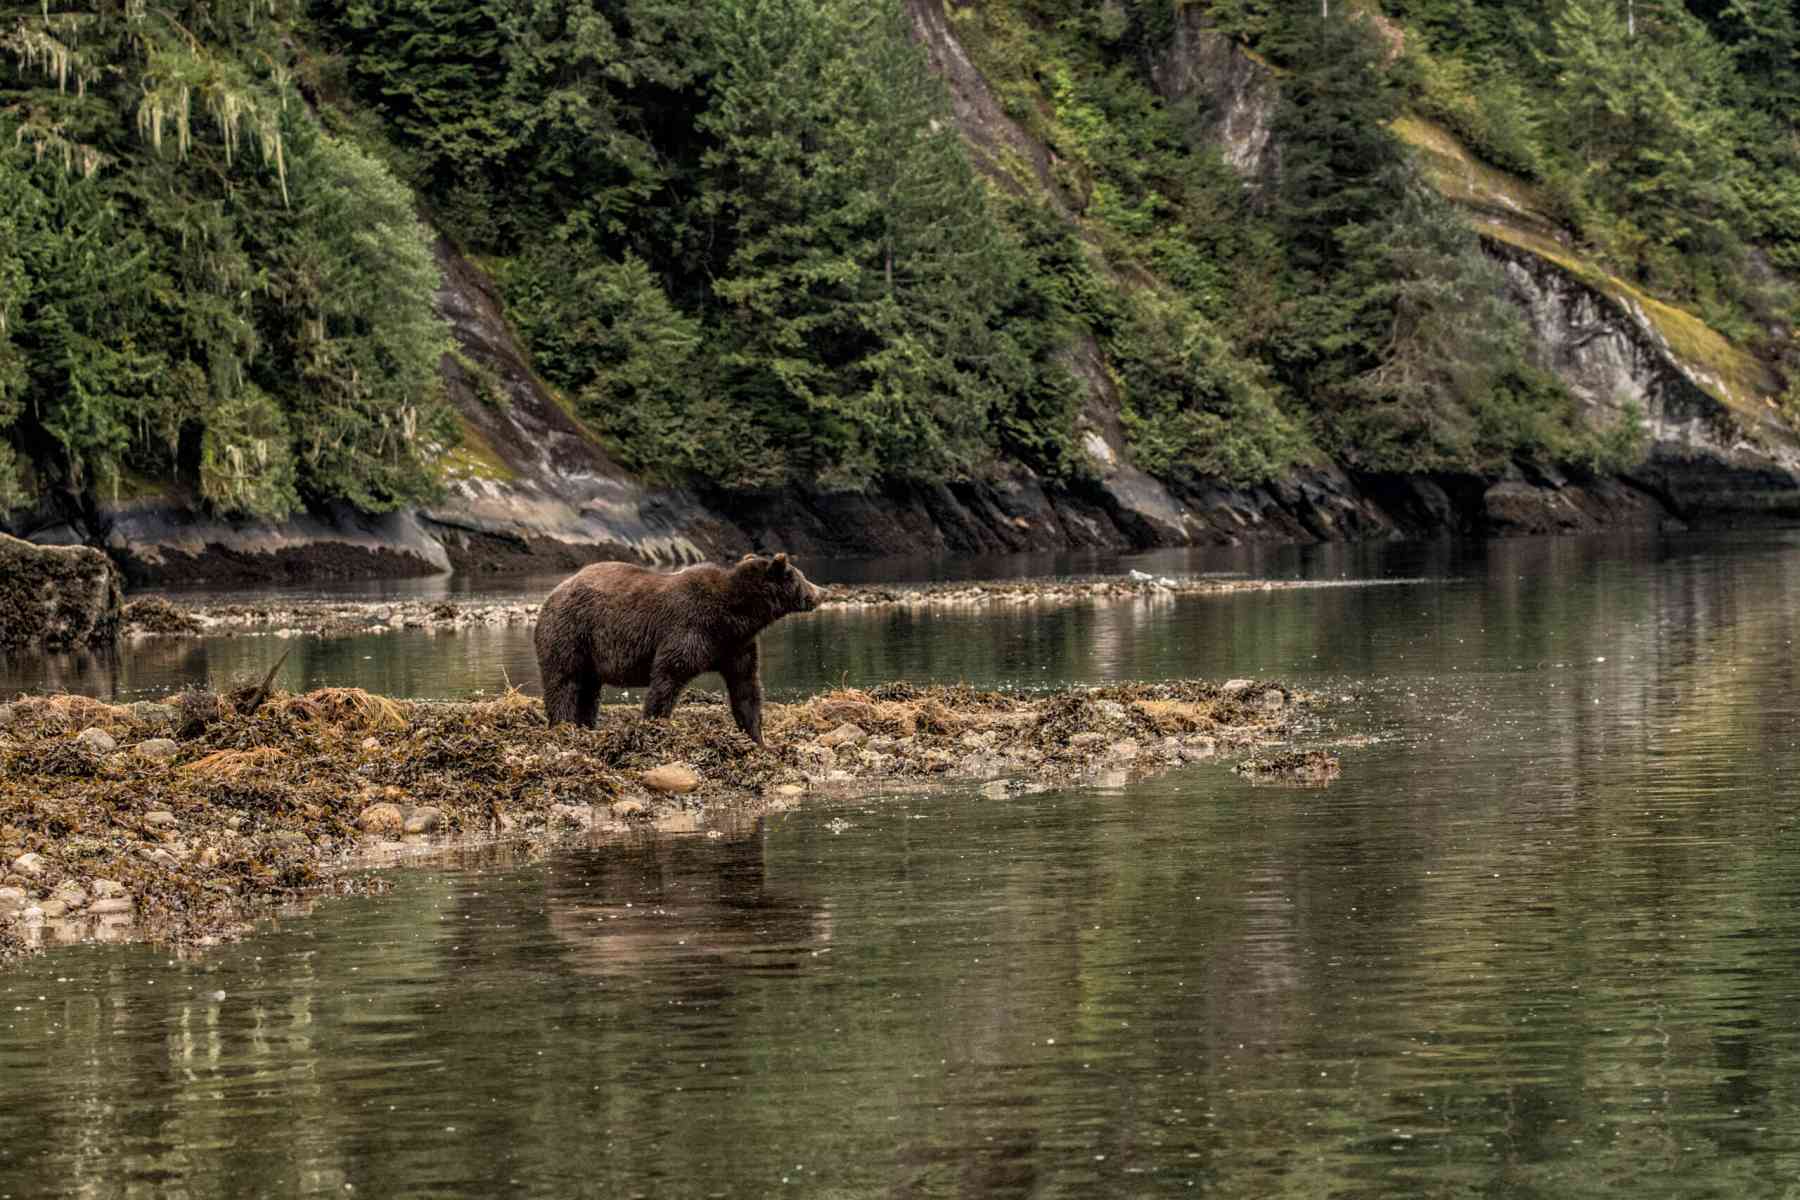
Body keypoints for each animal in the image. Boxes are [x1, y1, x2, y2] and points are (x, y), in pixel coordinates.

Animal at [525, 557, 824, 744]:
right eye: (801, 577)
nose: (822, 592)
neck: (735, 616)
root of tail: (552, 595)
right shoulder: (690, 628)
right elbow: (667, 677)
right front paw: (654, 725)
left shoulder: (734, 646)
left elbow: (746, 688)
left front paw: (759, 739)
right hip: (571, 631)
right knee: (563, 681)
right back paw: (563, 724)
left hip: (589, 651)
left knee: (589, 690)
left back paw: (585, 726)